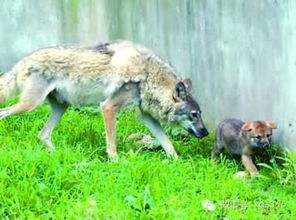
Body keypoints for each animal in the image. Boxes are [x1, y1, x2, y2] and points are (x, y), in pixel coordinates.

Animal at [0, 40, 208, 159]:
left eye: (199, 114)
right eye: (193, 114)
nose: (206, 132)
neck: (148, 75)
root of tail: (22, 61)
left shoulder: (146, 116)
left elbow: (167, 143)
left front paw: (178, 163)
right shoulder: (108, 107)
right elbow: (112, 142)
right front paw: (116, 162)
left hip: (61, 107)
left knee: (43, 134)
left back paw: (60, 156)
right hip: (29, 105)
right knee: (4, 113)